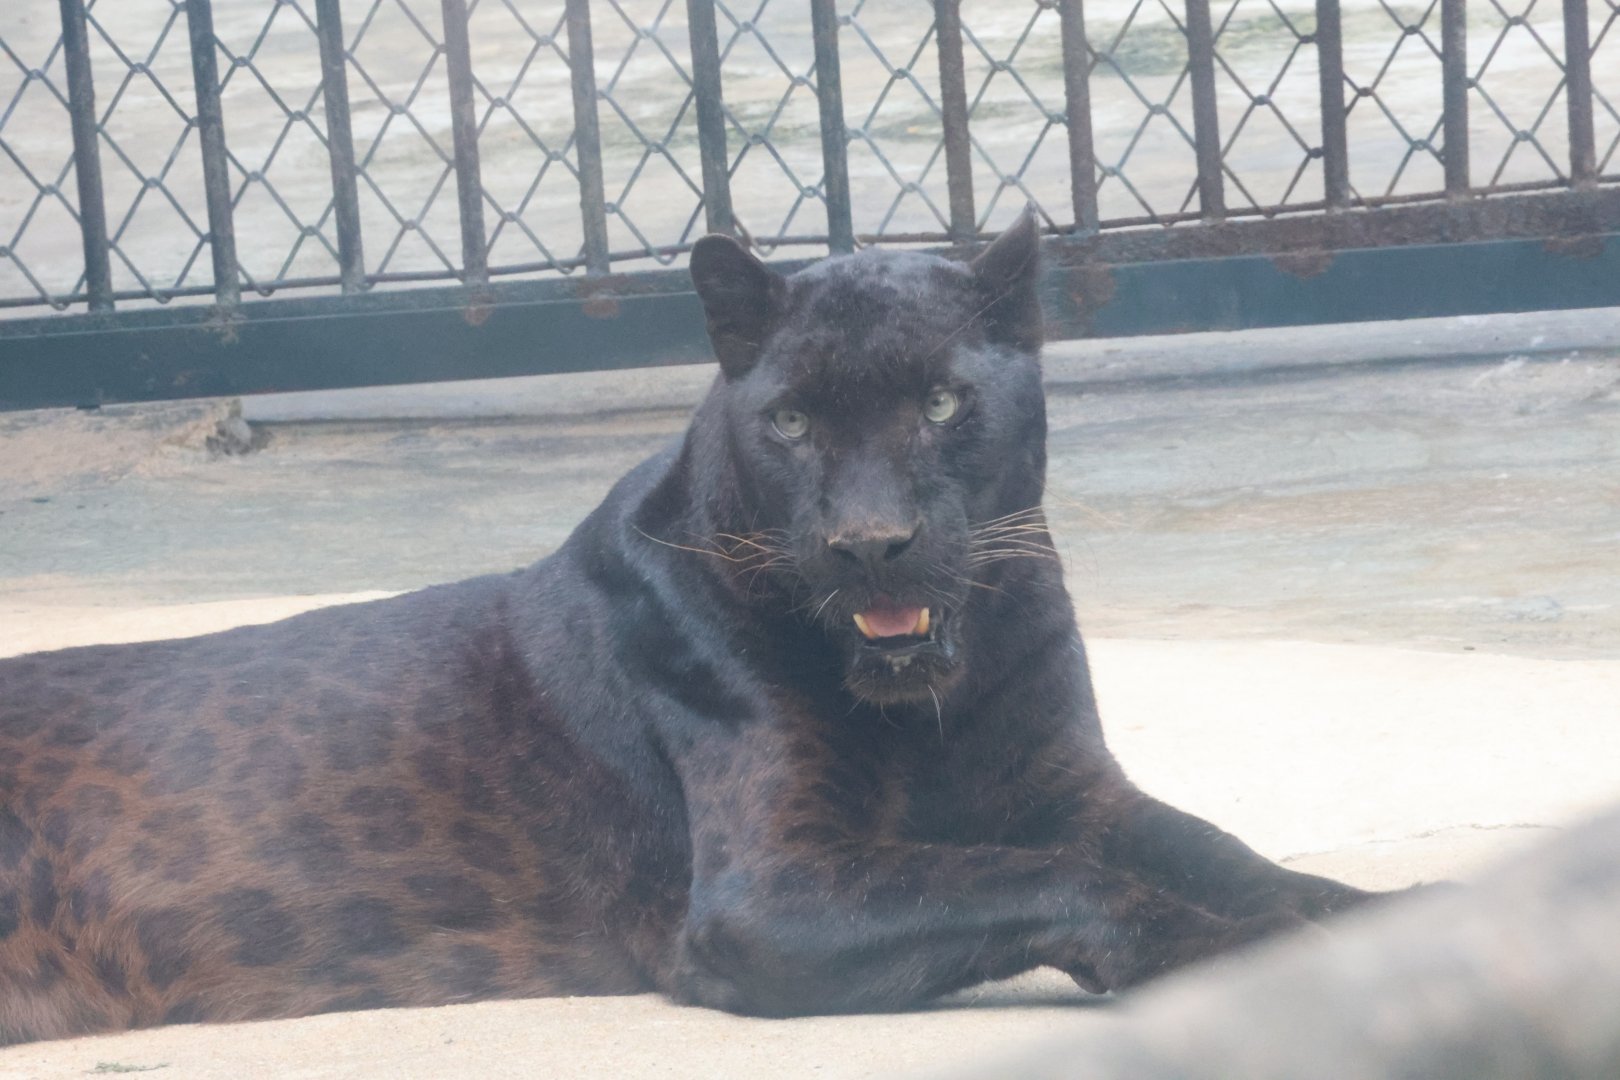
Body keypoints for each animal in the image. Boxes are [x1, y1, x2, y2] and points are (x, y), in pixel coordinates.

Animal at [0, 209, 1377, 1043]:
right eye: (794, 422)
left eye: (940, 402)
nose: (869, 542)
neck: (940, 700)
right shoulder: (768, 893)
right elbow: (1044, 877)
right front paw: (1244, 950)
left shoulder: (1071, 787)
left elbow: (1219, 849)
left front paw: (1360, 910)